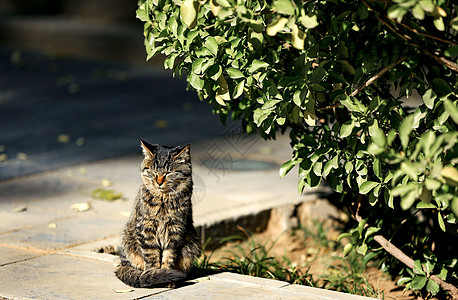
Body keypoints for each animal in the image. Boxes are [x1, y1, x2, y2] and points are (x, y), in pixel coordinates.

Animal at [114, 141, 200, 288]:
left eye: (168, 172)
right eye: (153, 171)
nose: (159, 182)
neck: (163, 200)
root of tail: (122, 263)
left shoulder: (175, 230)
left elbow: (168, 257)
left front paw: (167, 277)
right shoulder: (146, 229)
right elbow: (151, 257)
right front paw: (154, 275)